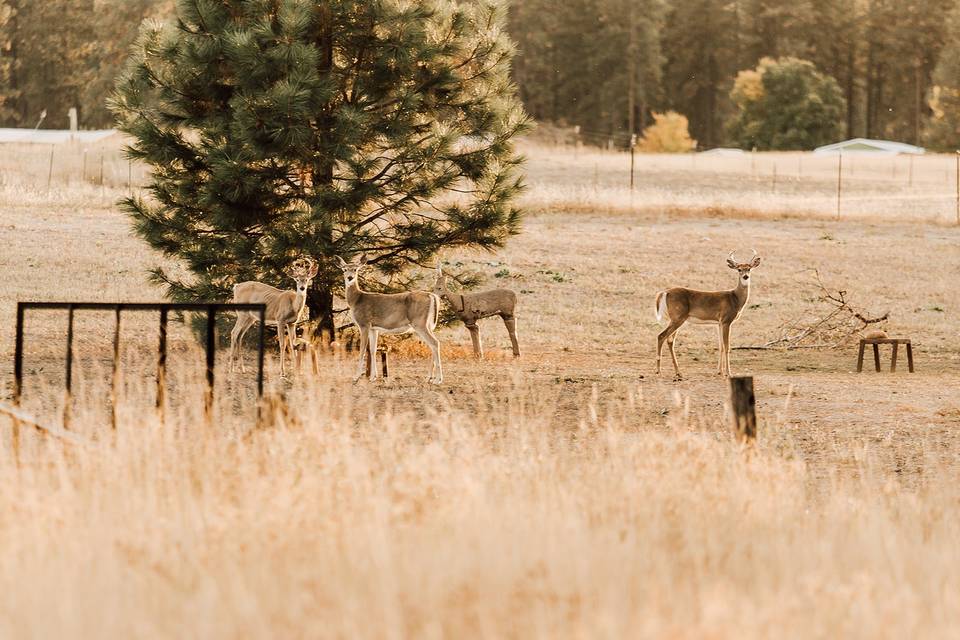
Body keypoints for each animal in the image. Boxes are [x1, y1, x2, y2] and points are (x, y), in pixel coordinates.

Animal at [336, 255, 444, 384]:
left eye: (355, 269)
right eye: (344, 269)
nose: (350, 277)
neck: (356, 300)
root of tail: (432, 296)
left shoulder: (364, 324)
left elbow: (362, 350)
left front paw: (356, 377)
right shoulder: (373, 328)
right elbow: (372, 350)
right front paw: (373, 377)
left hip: (419, 323)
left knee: (435, 343)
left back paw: (438, 379)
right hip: (429, 324)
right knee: (433, 344)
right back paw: (429, 377)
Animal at [656, 250, 760, 380]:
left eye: (749, 268)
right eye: (739, 269)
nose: (746, 276)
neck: (735, 298)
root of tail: (665, 292)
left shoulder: (719, 323)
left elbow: (721, 346)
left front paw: (719, 371)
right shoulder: (726, 320)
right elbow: (727, 346)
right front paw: (728, 373)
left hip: (676, 318)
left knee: (670, 340)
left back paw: (678, 372)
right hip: (678, 317)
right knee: (661, 336)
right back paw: (659, 371)